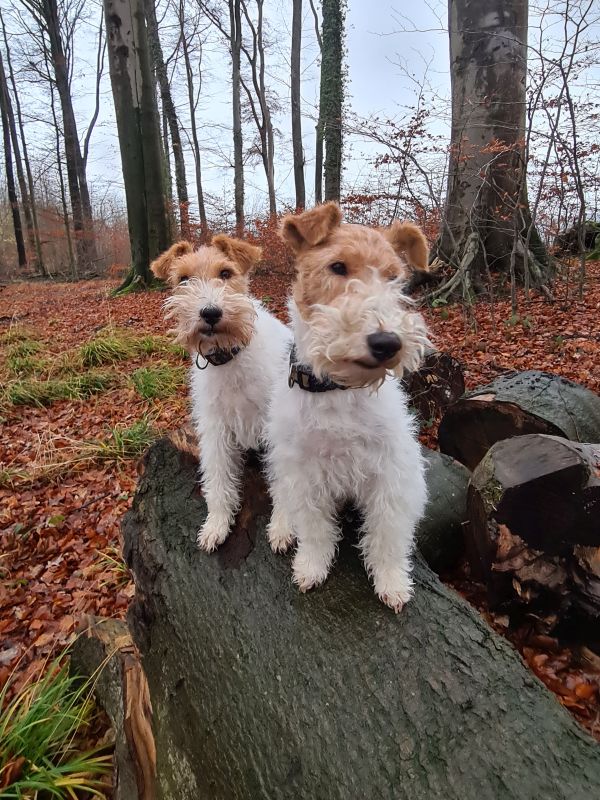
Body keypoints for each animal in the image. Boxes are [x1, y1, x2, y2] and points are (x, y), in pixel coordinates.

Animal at [158, 234, 292, 552]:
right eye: (183, 279)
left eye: (226, 273)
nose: (210, 313)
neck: (230, 355)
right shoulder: (215, 428)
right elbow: (218, 479)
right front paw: (216, 525)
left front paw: (283, 525)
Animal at [268, 203, 432, 608]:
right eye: (338, 266)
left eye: (394, 277)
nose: (387, 342)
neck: (337, 389)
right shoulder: (306, 472)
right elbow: (314, 530)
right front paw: (311, 568)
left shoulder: (392, 472)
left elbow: (387, 534)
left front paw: (392, 582)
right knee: (281, 496)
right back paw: (281, 527)